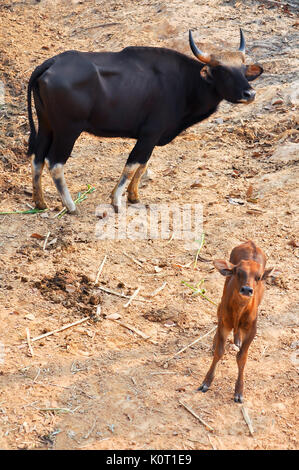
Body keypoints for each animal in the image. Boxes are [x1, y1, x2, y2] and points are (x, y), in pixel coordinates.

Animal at [199, 241, 274, 402]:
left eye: (258, 277)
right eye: (239, 273)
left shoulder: (252, 330)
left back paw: (237, 339)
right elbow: (219, 352)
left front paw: (239, 392)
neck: (239, 311)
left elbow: (242, 358)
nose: (247, 289)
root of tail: (250, 243)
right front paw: (206, 382)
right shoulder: (224, 324)